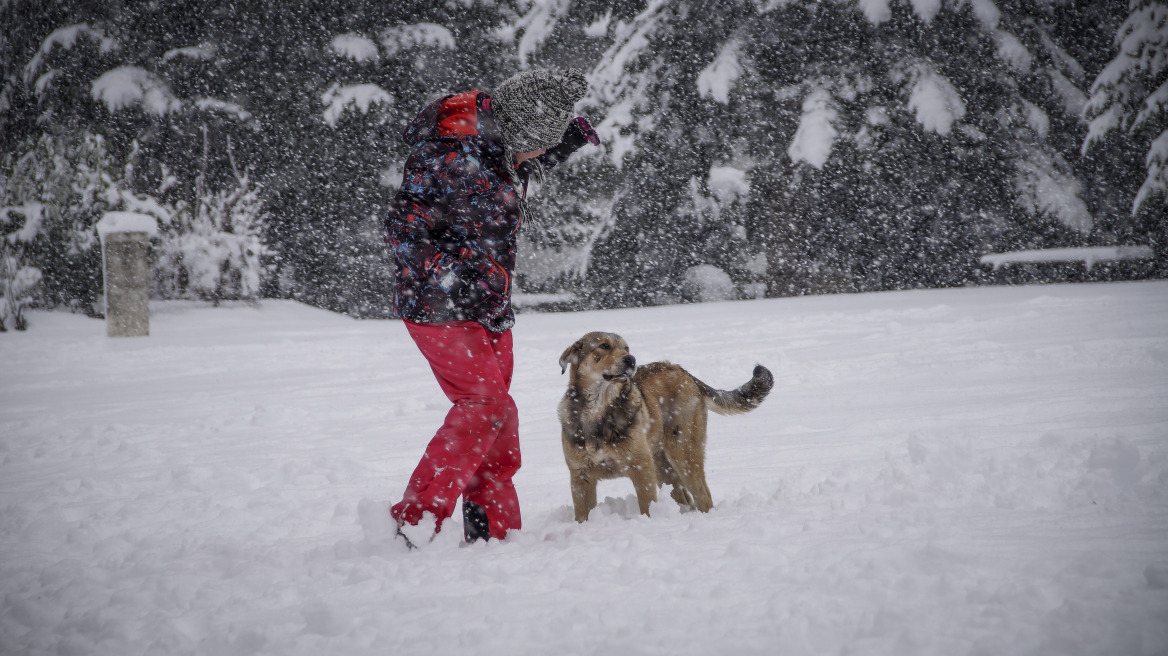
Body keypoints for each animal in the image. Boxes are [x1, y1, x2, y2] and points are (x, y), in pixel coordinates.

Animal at [558, 331, 775, 520]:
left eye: (626, 348)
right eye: (604, 346)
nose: (631, 359)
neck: (598, 409)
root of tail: (682, 371)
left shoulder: (640, 467)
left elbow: (646, 507)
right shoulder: (581, 476)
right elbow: (582, 516)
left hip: (683, 454)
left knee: (703, 497)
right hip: (663, 467)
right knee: (686, 500)